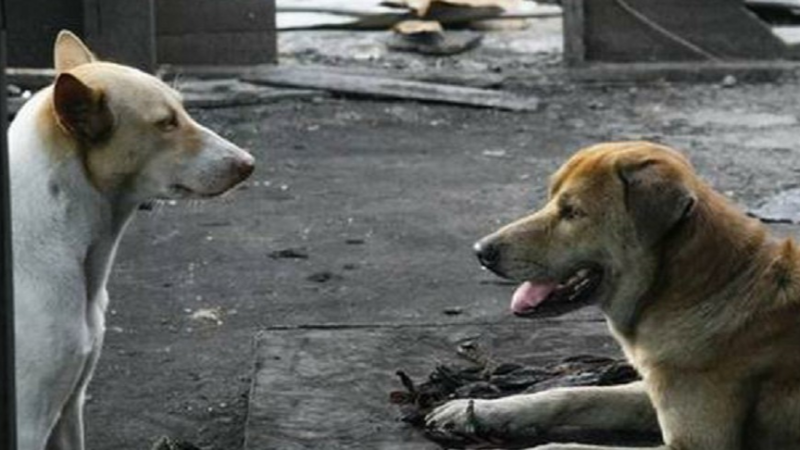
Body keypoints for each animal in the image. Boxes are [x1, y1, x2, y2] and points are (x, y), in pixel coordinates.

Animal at [428, 142, 800, 450]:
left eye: (573, 212)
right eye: (552, 200)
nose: (481, 252)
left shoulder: (695, 443)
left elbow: (570, 446)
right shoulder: (651, 390)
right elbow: (574, 394)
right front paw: (477, 410)